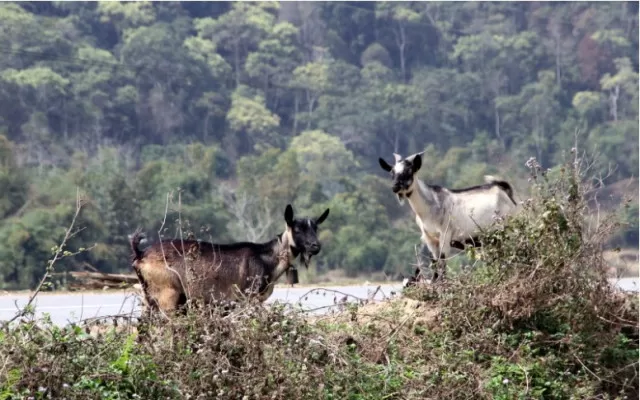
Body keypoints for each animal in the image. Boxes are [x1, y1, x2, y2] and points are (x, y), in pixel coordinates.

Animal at [130, 205, 330, 314]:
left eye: (315, 228)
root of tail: (141, 254)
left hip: (149, 298)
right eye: (297, 229)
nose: (315, 246)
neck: (266, 257)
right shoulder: (247, 298)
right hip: (167, 295)